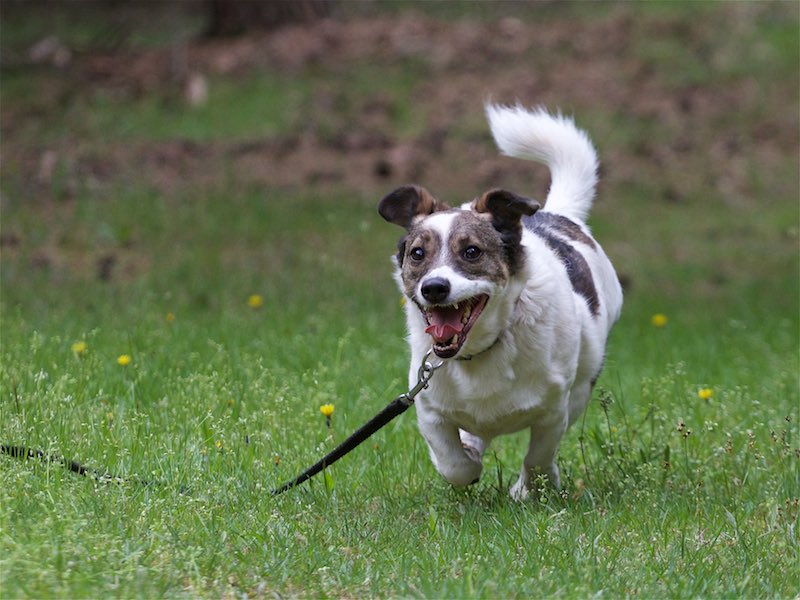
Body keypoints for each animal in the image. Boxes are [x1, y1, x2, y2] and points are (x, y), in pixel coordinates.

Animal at [378, 104, 623, 500]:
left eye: (471, 251)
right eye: (417, 254)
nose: (434, 287)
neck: (481, 351)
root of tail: (557, 214)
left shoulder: (553, 411)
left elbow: (538, 456)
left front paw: (528, 489)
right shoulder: (428, 407)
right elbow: (453, 463)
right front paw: (469, 460)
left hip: (583, 382)